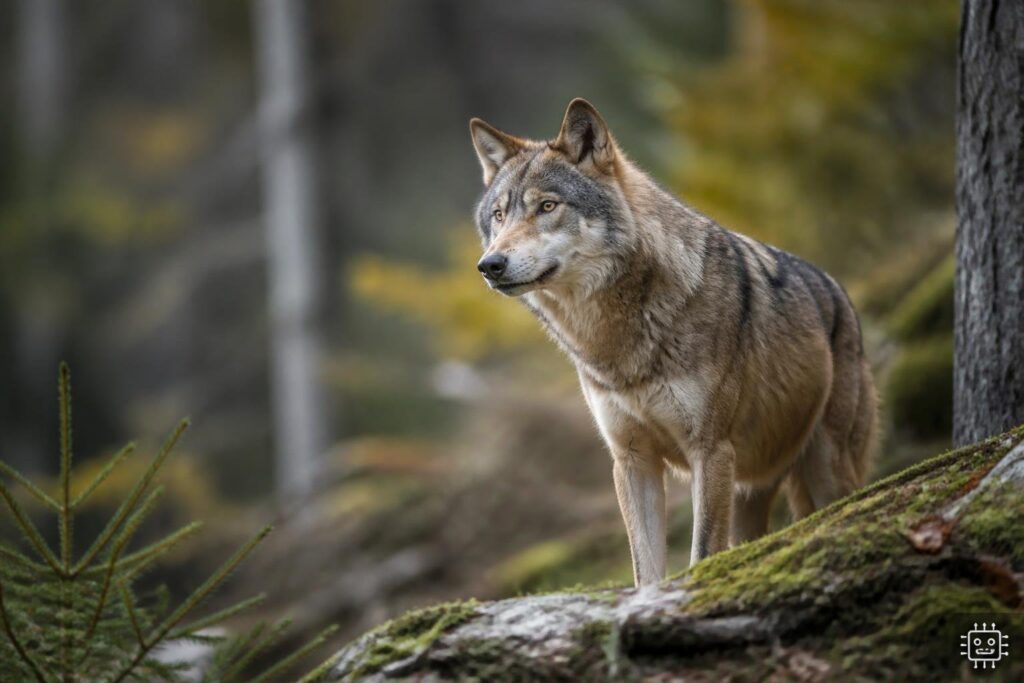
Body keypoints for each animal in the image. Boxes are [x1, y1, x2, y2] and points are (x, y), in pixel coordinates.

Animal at [468, 99, 877, 586]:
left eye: (547, 206)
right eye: (499, 216)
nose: (490, 265)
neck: (618, 342)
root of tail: (839, 292)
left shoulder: (710, 450)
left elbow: (701, 554)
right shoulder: (632, 460)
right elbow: (646, 571)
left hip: (824, 468)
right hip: (750, 491)